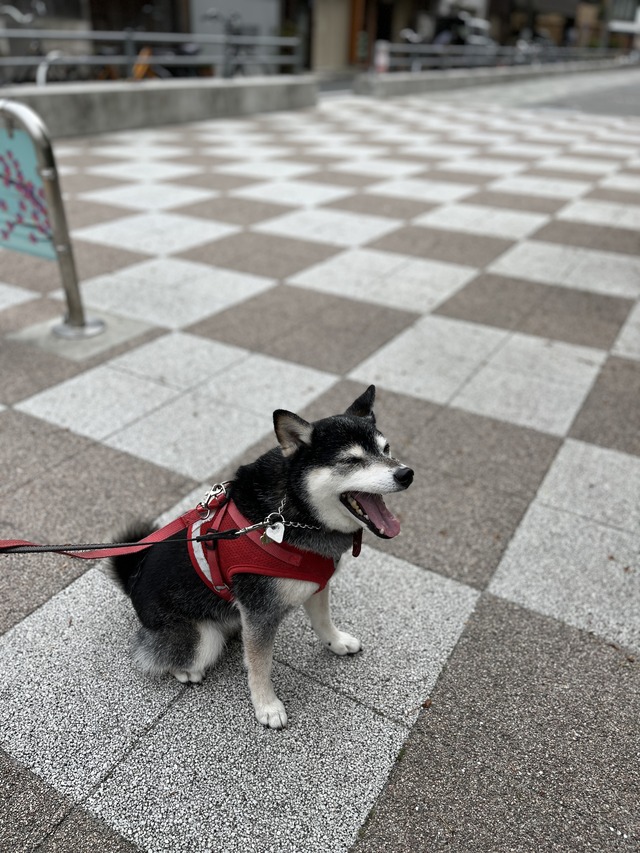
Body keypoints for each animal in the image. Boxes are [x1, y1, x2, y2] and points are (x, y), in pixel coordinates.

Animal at [112, 386, 416, 724]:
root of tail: (133, 581)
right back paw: (185, 671)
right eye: (352, 460)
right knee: (158, 655)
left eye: (386, 449)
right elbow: (260, 664)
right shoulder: (260, 613)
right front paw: (267, 706)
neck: (294, 511)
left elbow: (323, 621)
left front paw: (336, 642)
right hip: (201, 638)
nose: (406, 474)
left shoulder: (317, 582)